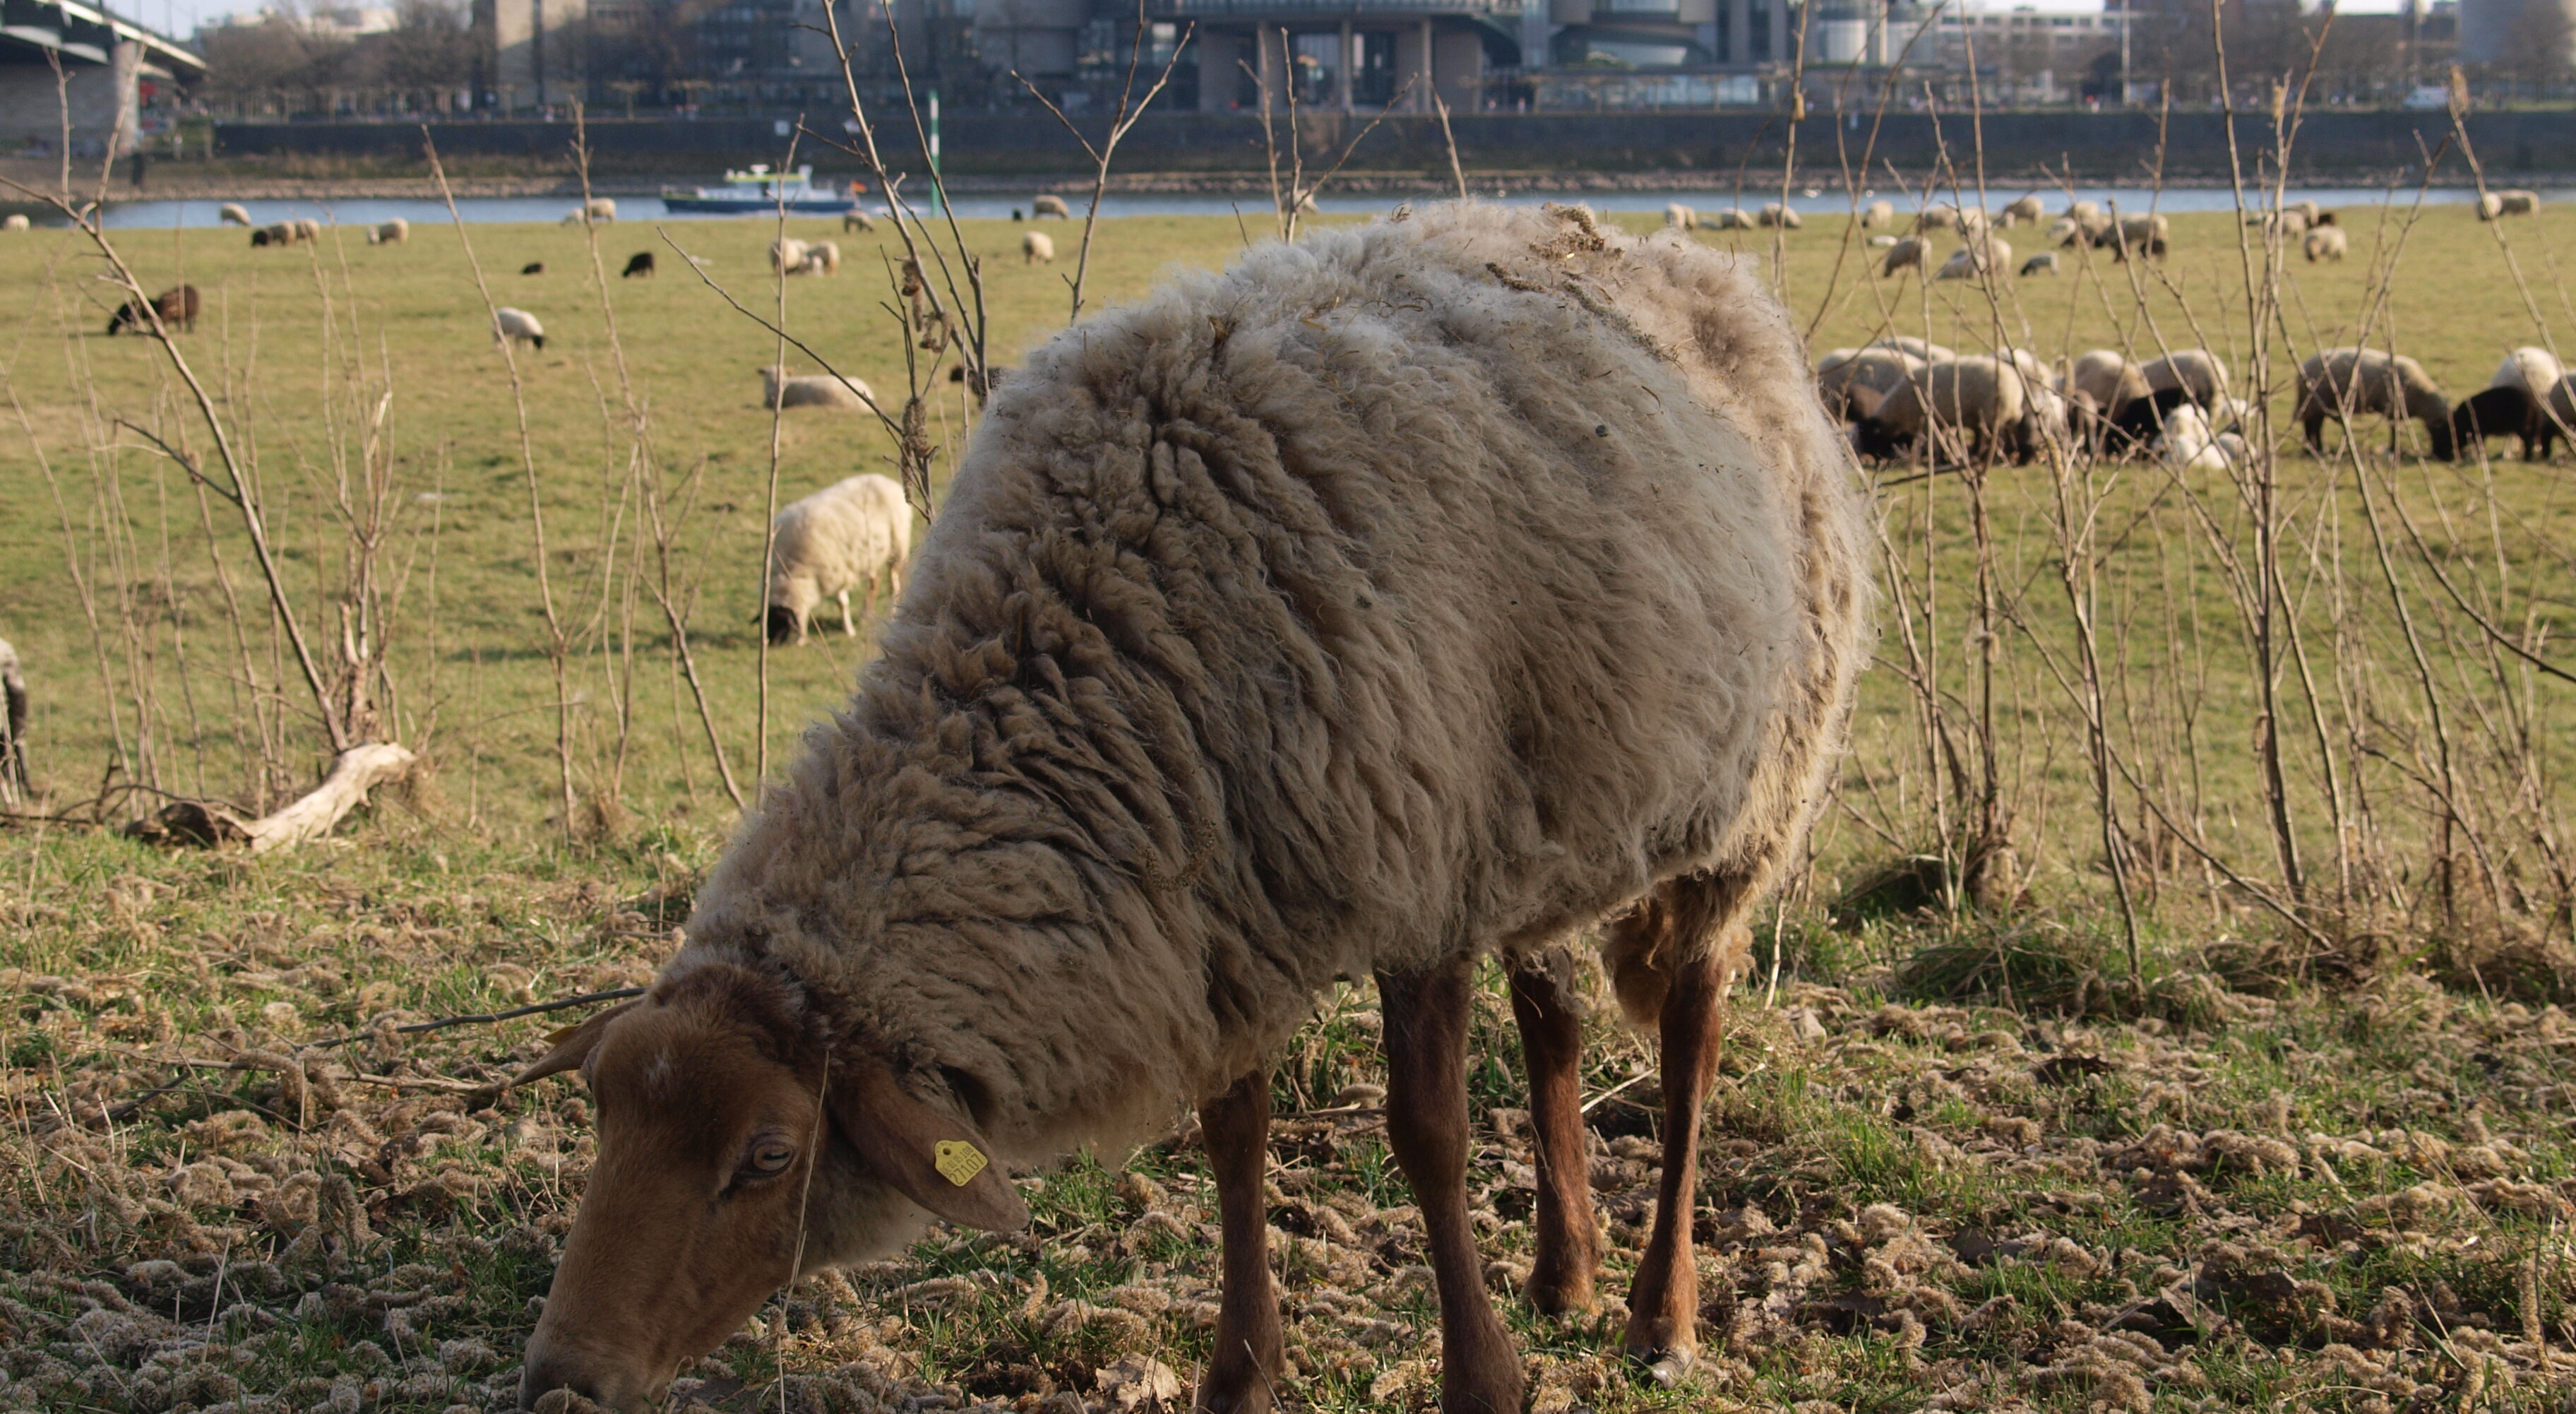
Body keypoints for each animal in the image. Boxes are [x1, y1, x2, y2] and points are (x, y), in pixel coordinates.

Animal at [759, 472, 911, 645]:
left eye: (783, 622)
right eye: (767, 622)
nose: (771, 643)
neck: (793, 567)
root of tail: (886, 481)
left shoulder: (838, 571)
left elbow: (841, 603)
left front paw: (848, 631)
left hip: (898, 547)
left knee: (894, 584)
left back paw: (891, 612)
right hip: (867, 556)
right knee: (874, 581)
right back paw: (865, 613)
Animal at [2297, 347, 2454, 458]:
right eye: (2446, 431)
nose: (2446, 457)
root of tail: (2303, 369)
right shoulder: (2392, 408)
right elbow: (2394, 430)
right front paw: (2392, 449)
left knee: (2312, 425)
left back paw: (2312, 449)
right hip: (2316, 401)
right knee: (2313, 425)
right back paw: (2318, 450)